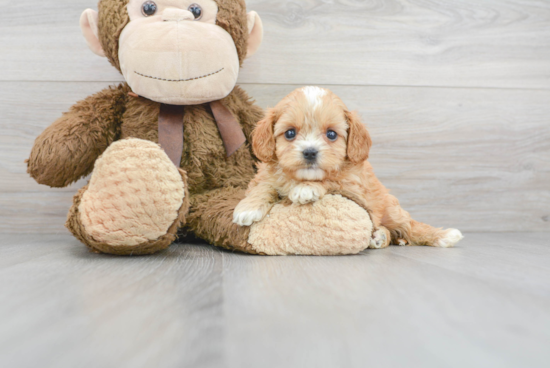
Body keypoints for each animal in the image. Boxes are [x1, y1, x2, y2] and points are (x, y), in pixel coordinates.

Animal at [234, 86, 466, 247]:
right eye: (290, 133)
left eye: (331, 134)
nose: (310, 152)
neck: (301, 176)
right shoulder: (266, 175)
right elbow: (264, 186)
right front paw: (248, 208)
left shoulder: (354, 188)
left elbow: (331, 180)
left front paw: (306, 189)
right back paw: (381, 237)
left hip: (391, 210)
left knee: (409, 226)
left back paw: (443, 236)